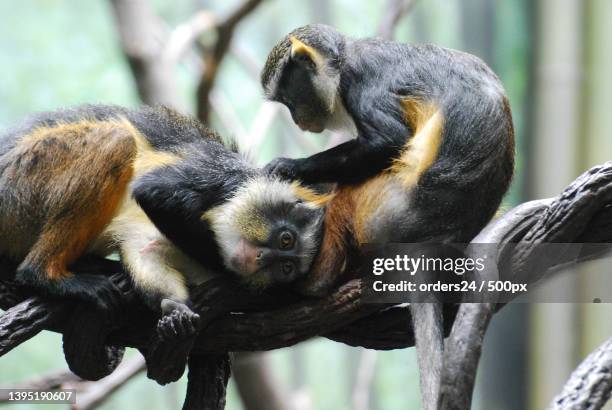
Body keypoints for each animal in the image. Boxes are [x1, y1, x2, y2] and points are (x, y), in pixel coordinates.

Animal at [0, 105, 326, 326]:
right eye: (285, 239)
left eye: (285, 267)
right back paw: (44, 274)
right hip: (22, 184)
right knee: (116, 140)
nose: (261, 258)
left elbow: (147, 253)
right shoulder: (219, 174)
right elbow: (156, 192)